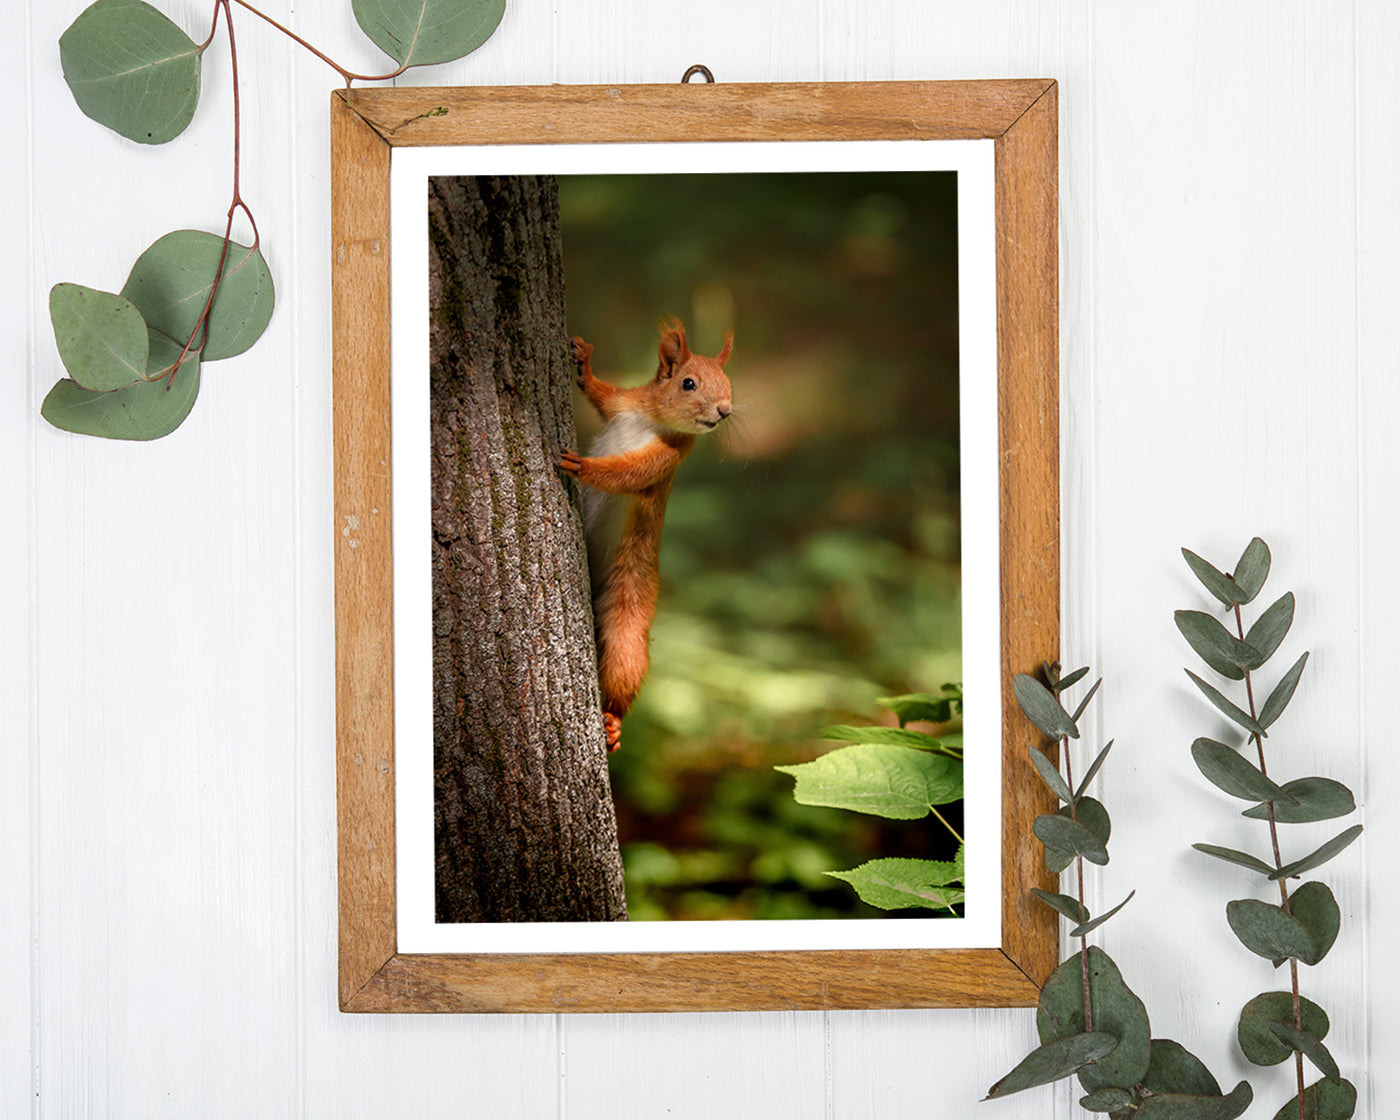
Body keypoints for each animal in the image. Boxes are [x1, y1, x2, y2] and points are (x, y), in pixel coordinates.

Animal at [557, 318, 734, 751]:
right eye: (688, 383)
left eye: (729, 383)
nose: (725, 411)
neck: (652, 422)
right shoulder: (624, 405)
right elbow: (602, 394)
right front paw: (583, 362)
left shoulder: (666, 457)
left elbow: (626, 473)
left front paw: (582, 466)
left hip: (629, 611)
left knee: (624, 666)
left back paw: (612, 722)